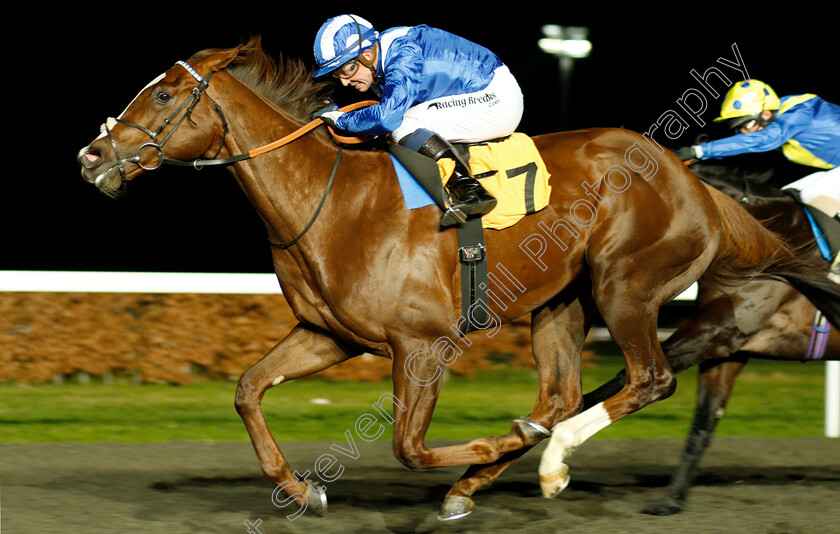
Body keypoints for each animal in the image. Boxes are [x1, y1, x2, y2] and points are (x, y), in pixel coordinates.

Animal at [77, 38, 832, 524]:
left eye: (164, 93)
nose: (91, 156)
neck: (330, 197)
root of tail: (691, 181)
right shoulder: (328, 334)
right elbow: (247, 390)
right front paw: (299, 490)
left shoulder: (421, 344)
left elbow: (408, 447)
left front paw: (497, 448)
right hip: (561, 301)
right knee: (561, 393)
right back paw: (503, 465)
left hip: (626, 288)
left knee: (647, 379)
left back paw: (547, 460)